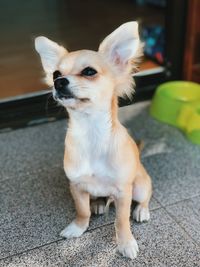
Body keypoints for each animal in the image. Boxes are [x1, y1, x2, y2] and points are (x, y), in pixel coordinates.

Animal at [35, 22, 152, 260]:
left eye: (89, 72)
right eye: (56, 73)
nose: (58, 82)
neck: (91, 133)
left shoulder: (123, 192)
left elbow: (121, 221)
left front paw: (125, 243)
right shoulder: (77, 186)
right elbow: (83, 211)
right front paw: (77, 228)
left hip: (140, 186)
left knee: (145, 197)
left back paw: (142, 210)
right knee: (99, 201)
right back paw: (99, 204)